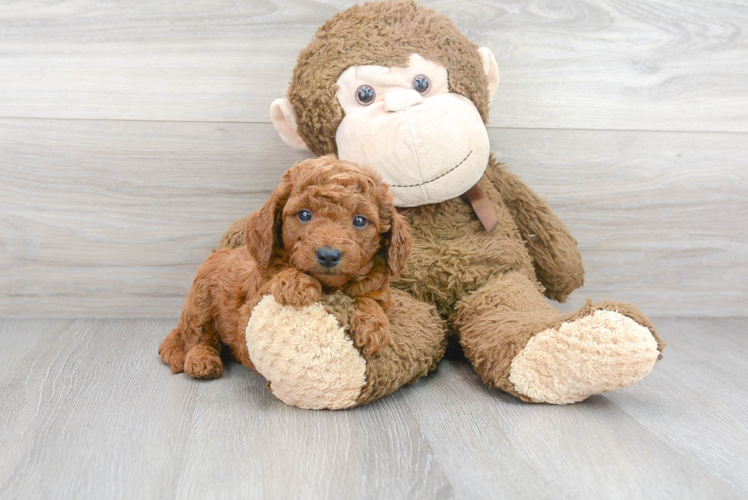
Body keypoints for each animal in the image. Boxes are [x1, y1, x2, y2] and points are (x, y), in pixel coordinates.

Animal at [160, 156, 412, 378]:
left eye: (359, 220)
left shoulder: (380, 294)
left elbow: (372, 302)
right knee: (198, 335)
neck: (330, 286)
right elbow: (276, 278)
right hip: (200, 299)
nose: (328, 255)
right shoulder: (247, 314)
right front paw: (296, 283)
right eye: (305, 214)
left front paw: (373, 326)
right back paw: (201, 360)